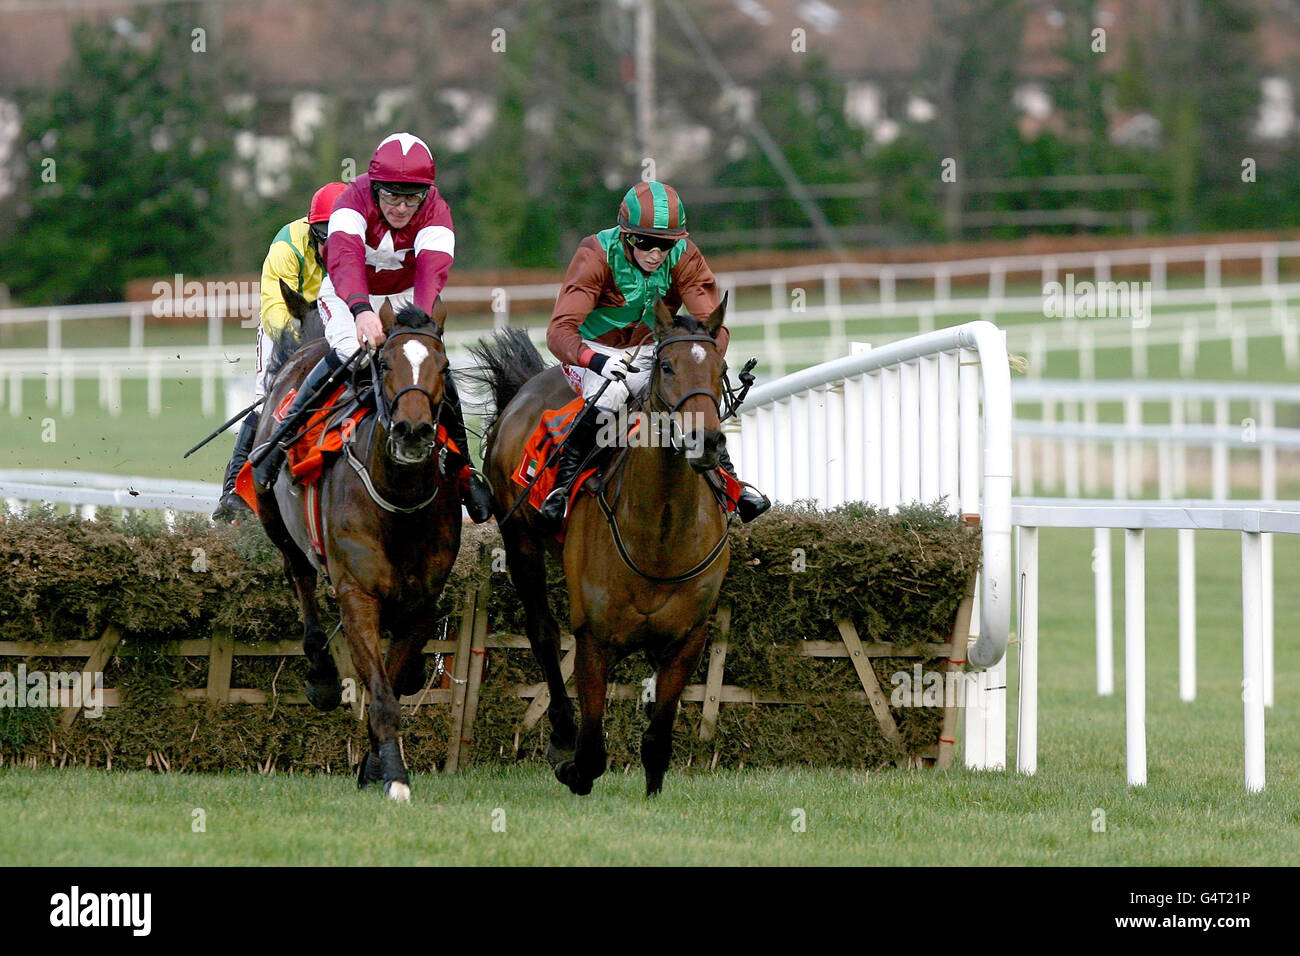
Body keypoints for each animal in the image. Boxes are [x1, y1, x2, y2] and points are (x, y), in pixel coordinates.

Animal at [253, 283, 462, 801]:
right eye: (383, 363)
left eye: (444, 365)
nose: (413, 430)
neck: (398, 502)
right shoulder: (358, 596)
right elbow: (380, 690)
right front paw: (395, 776)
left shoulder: (421, 603)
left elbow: (394, 679)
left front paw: (375, 764)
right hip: (278, 524)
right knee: (301, 580)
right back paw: (322, 677)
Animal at [470, 299, 738, 801]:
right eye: (667, 366)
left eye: (721, 369)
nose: (706, 441)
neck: (659, 535)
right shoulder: (594, 638)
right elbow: (593, 749)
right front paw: (570, 764)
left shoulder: (687, 640)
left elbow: (657, 737)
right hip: (520, 540)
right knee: (543, 633)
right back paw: (560, 735)